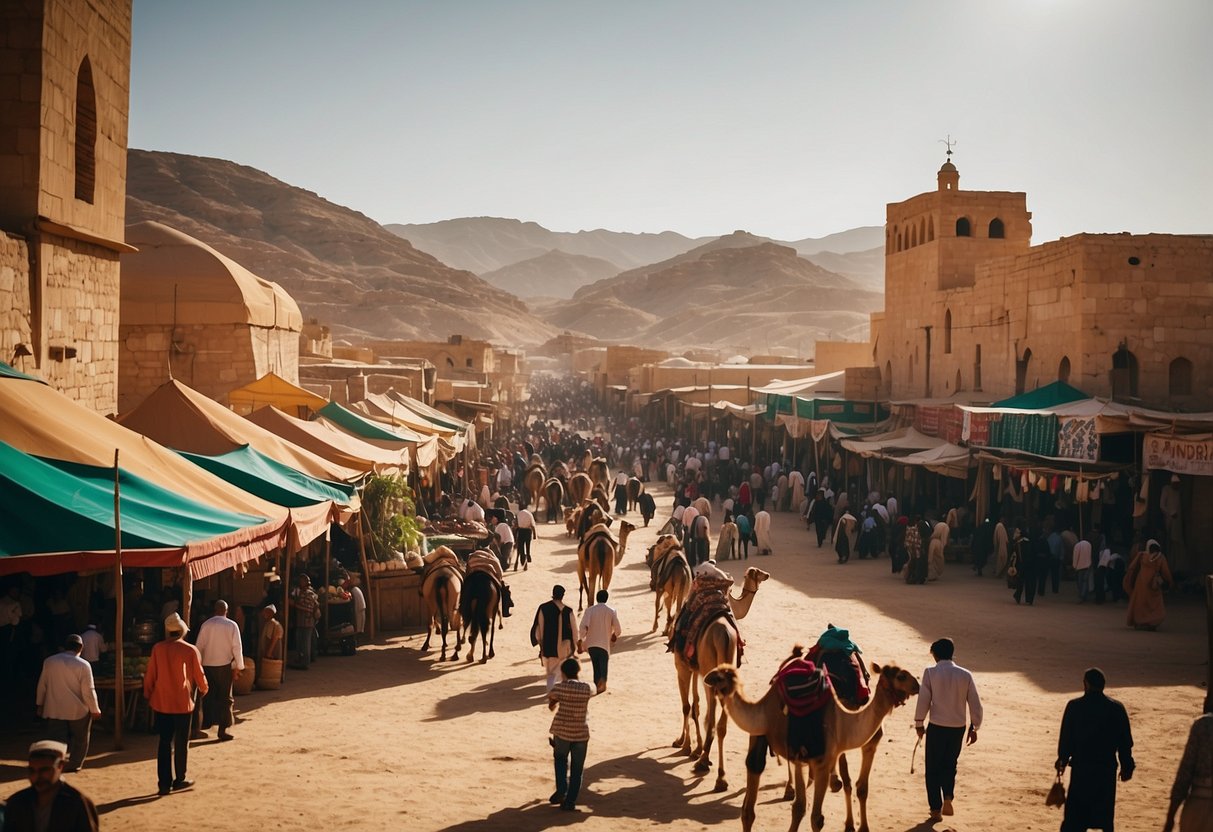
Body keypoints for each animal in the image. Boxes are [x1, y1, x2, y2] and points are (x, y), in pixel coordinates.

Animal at [703, 659, 917, 832]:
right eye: (901, 676)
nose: (917, 685)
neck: (844, 723)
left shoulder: (801, 760)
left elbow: (799, 808)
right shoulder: (822, 762)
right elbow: (816, 818)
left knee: (748, 809)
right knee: (749, 806)